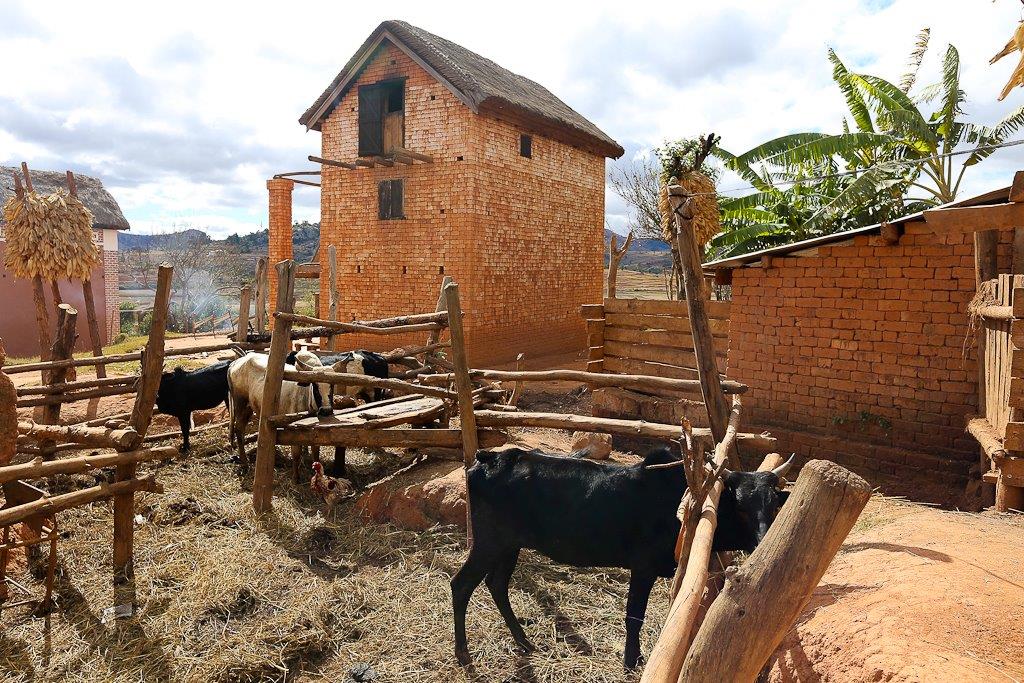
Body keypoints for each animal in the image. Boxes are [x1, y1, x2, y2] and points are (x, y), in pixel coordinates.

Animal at [452, 446, 794, 671]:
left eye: (773, 504)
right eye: (741, 506)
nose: (763, 539)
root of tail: (489, 458)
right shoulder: (643, 567)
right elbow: (634, 616)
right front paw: (632, 660)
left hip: (509, 546)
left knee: (496, 584)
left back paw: (523, 640)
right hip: (490, 542)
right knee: (461, 584)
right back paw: (463, 654)